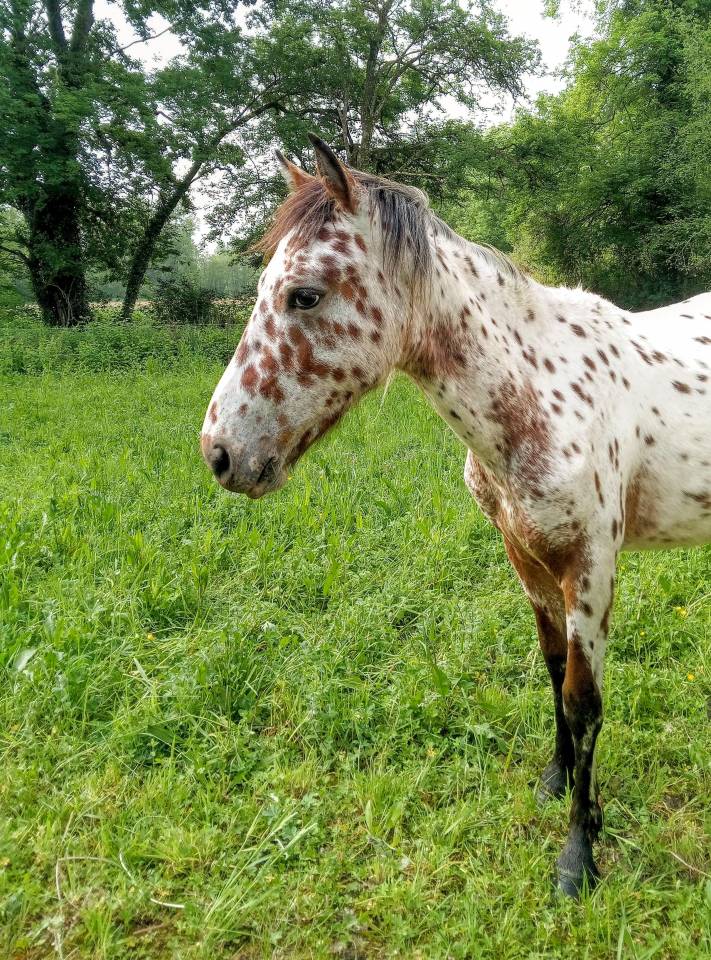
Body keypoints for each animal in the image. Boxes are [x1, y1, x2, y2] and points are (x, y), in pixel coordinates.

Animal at [201, 134, 711, 897]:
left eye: (305, 294)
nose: (221, 452)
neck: (540, 389)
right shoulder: (524, 554)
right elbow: (551, 669)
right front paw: (558, 781)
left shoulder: (590, 566)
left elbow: (583, 701)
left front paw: (578, 855)